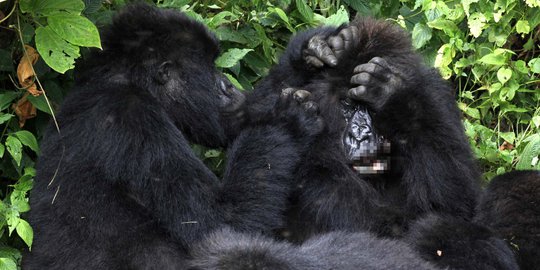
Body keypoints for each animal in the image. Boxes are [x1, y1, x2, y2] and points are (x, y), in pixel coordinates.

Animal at [23, 3, 324, 268]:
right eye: (210, 67)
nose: (227, 86)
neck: (133, 83)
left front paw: (308, 53)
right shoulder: (134, 121)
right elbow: (223, 224)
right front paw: (287, 119)